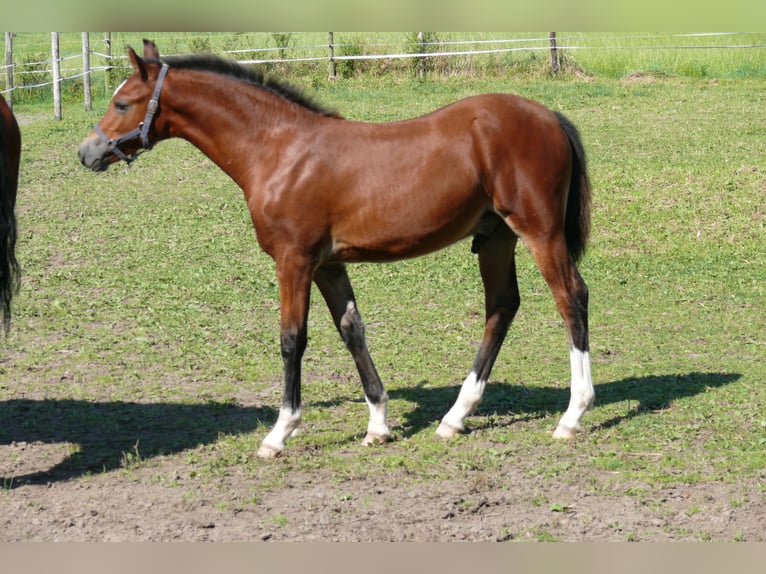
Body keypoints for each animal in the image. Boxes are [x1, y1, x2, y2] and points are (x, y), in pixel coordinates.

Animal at [79, 40, 592, 462]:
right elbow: (352, 331)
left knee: (571, 298)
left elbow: (292, 339)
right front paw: (378, 425)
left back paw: (573, 415)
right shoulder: (328, 264)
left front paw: (279, 433)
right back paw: (454, 418)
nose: (86, 153)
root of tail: (549, 116)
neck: (279, 150)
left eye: (122, 102)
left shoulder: (294, 260)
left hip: (540, 232)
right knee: (502, 306)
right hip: (496, 238)